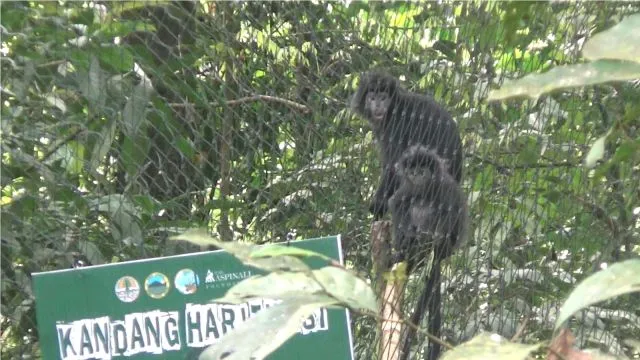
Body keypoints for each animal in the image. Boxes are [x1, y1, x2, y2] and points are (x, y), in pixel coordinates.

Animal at [348, 71, 462, 219]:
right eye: (372, 98)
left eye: (383, 98)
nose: (378, 105)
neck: (395, 109)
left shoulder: (398, 124)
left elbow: (393, 166)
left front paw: (378, 206)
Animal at [388, 145, 468, 360]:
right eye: (412, 170)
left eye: (422, 169)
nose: (417, 174)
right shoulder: (407, 188)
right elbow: (396, 203)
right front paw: (404, 240)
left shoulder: (446, 186)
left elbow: (450, 210)